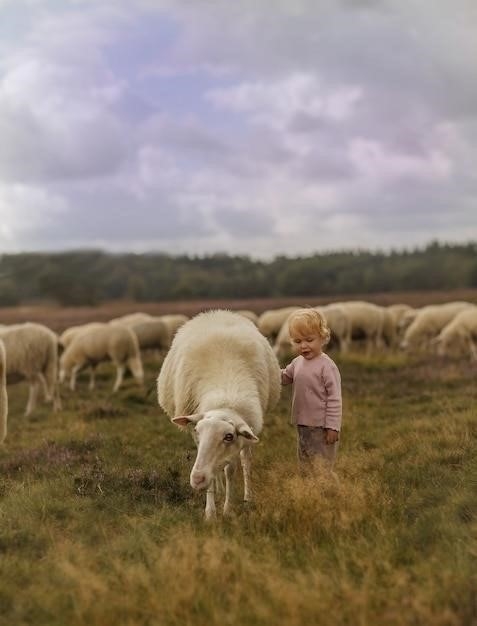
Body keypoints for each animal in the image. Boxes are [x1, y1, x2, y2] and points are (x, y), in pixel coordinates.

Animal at [158, 308, 280, 516]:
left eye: (228, 436)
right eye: (197, 431)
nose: (197, 479)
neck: (226, 396)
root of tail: (217, 312)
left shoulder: (243, 437)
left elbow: (233, 469)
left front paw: (229, 508)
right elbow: (213, 472)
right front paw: (210, 512)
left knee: (244, 462)